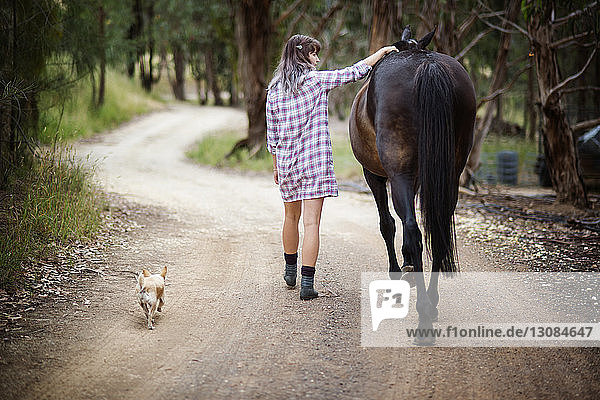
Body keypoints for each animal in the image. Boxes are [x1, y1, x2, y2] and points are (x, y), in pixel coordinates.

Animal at [350, 26, 476, 344]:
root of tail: (426, 63)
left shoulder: (374, 175)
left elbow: (387, 224)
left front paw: (398, 271)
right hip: (449, 175)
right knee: (438, 231)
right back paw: (431, 304)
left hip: (397, 176)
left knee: (413, 231)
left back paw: (423, 317)